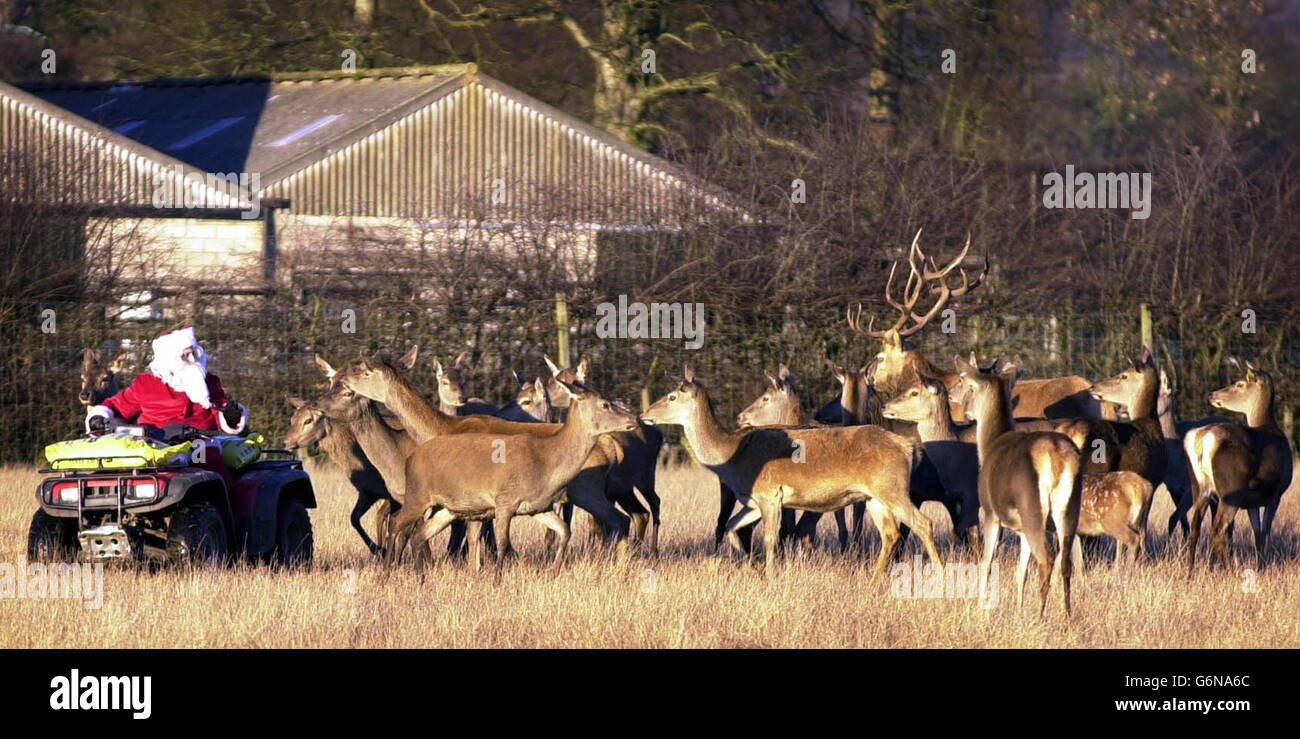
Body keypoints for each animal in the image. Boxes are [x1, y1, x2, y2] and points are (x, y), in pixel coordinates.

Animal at [387, 380, 641, 573]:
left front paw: (553, 569)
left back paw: (420, 575)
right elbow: (501, 544)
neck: (544, 466)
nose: (635, 419)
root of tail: (411, 458)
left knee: (419, 533)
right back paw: (388, 569)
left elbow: (564, 530)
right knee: (396, 522)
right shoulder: (504, 501)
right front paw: (496, 580)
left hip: (449, 509)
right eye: (605, 404)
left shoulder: (538, 507)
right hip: (418, 496)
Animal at [543, 355, 664, 555]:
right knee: (639, 514)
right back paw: (633, 550)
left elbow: (592, 524)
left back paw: (652, 551)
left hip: (646, 476)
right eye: (552, 380)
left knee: (654, 503)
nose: (546, 397)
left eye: (574, 381)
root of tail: (659, 434)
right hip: (623, 488)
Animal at [642, 367, 942, 579]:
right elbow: (732, 527)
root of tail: (908, 448)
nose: (645, 414)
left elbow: (770, 539)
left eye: (671, 396)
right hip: (874, 497)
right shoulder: (754, 501)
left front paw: (771, 575)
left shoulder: (770, 495)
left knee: (923, 523)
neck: (732, 456)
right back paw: (873, 580)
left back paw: (938, 574)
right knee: (891, 533)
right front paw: (752, 566)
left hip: (892, 489)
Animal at [951, 355, 1083, 617]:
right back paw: (1066, 615)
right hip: (1070, 507)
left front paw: (981, 609)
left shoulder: (990, 512)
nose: (950, 393)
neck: (988, 446)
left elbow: (986, 563)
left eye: (962, 380)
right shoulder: (1020, 529)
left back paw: (1040, 615)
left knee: (1046, 559)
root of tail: (1056, 455)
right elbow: (1021, 573)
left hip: (1032, 506)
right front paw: (1019, 611)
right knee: (1065, 561)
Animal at [1184, 358, 1293, 573]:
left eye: (1240, 384)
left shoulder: (1253, 501)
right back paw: (1230, 571)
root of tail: (1203, 437)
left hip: (1200, 486)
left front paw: (1260, 566)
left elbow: (1257, 534)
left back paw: (1189, 571)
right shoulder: (1276, 493)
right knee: (1218, 529)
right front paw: (1263, 566)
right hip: (1231, 488)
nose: (1212, 395)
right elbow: (1265, 533)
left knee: (1195, 527)